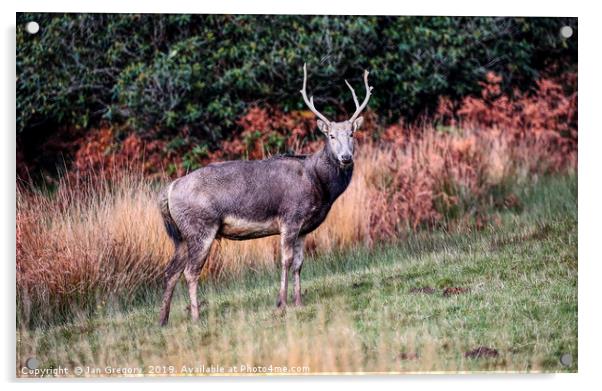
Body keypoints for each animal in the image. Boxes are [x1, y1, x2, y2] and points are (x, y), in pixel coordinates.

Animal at [156, 63, 370, 328]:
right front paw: (281, 303)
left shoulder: (304, 228)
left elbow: (299, 263)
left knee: (170, 271)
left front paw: (299, 301)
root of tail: (170, 189)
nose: (346, 157)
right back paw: (196, 317)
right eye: (331, 136)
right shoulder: (290, 216)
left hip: (181, 236)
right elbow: (286, 260)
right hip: (200, 227)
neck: (319, 184)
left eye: (352, 134)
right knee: (190, 271)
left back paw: (162, 320)